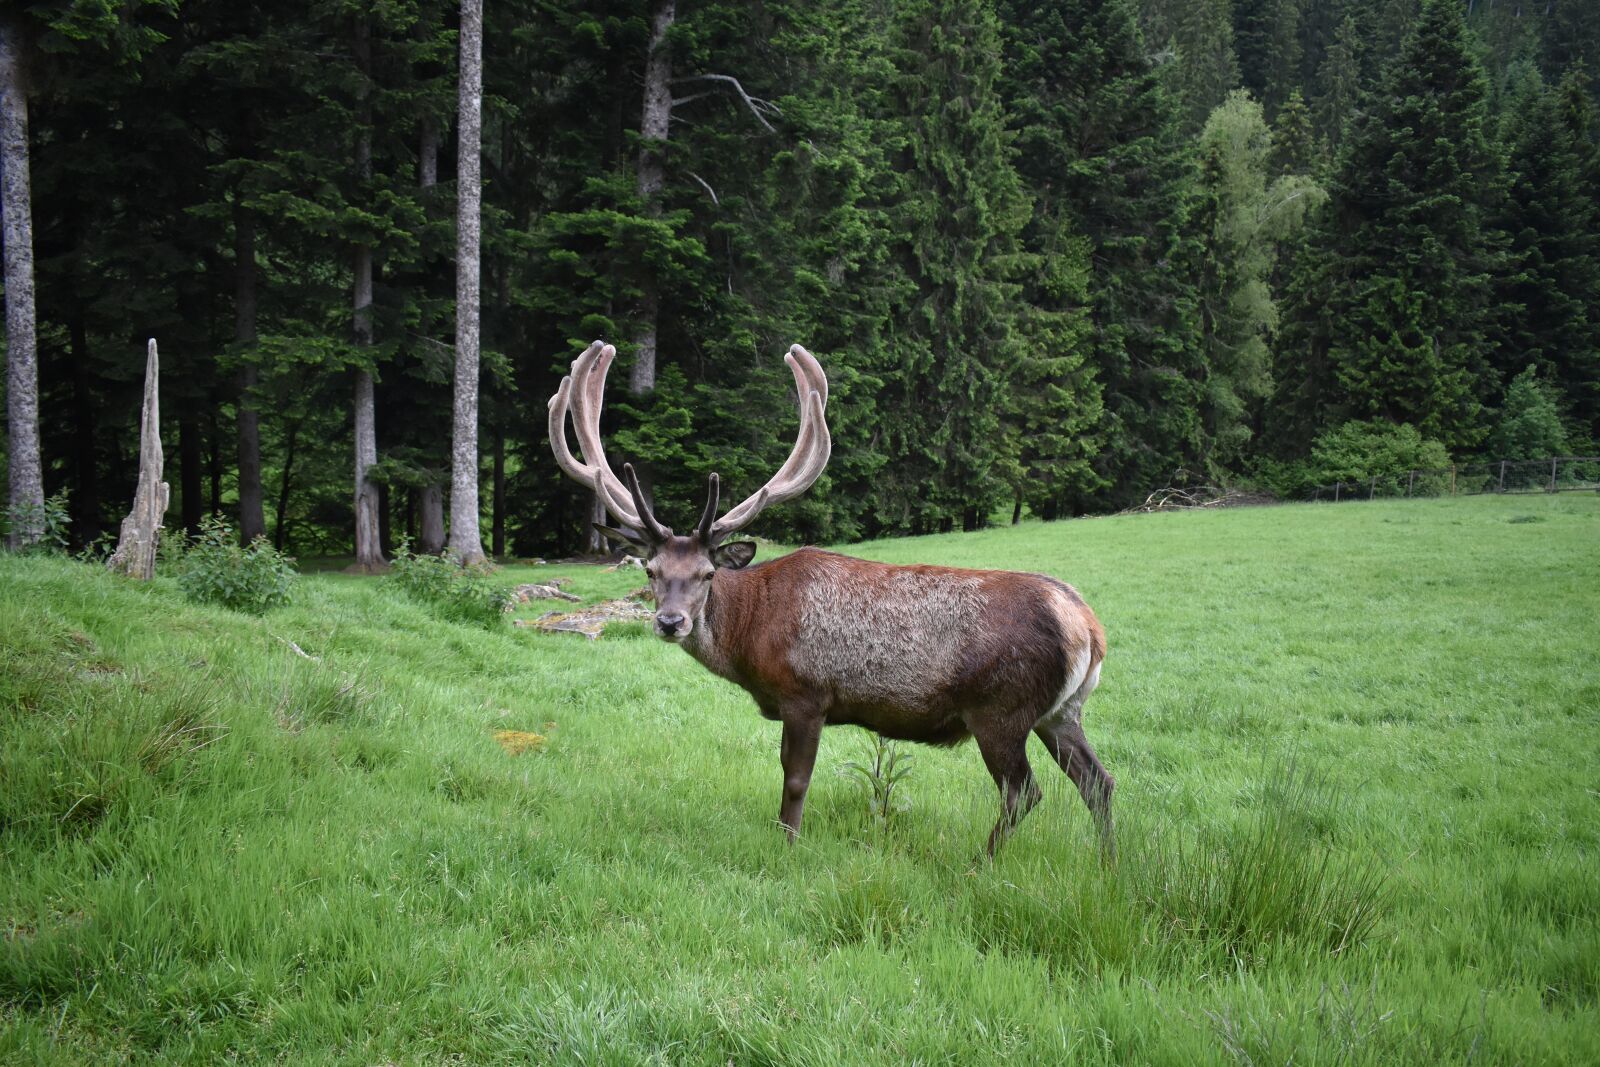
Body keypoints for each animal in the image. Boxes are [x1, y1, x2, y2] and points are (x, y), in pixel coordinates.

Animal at [548, 340, 1113, 857]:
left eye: (707, 573)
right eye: (651, 570)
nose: (670, 622)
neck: (751, 639)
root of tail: (1087, 624)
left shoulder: (806, 693)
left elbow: (796, 779)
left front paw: (789, 843)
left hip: (1001, 709)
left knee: (1024, 792)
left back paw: (981, 863)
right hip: (1061, 711)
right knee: (1098, 781)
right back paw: (1108, 862)